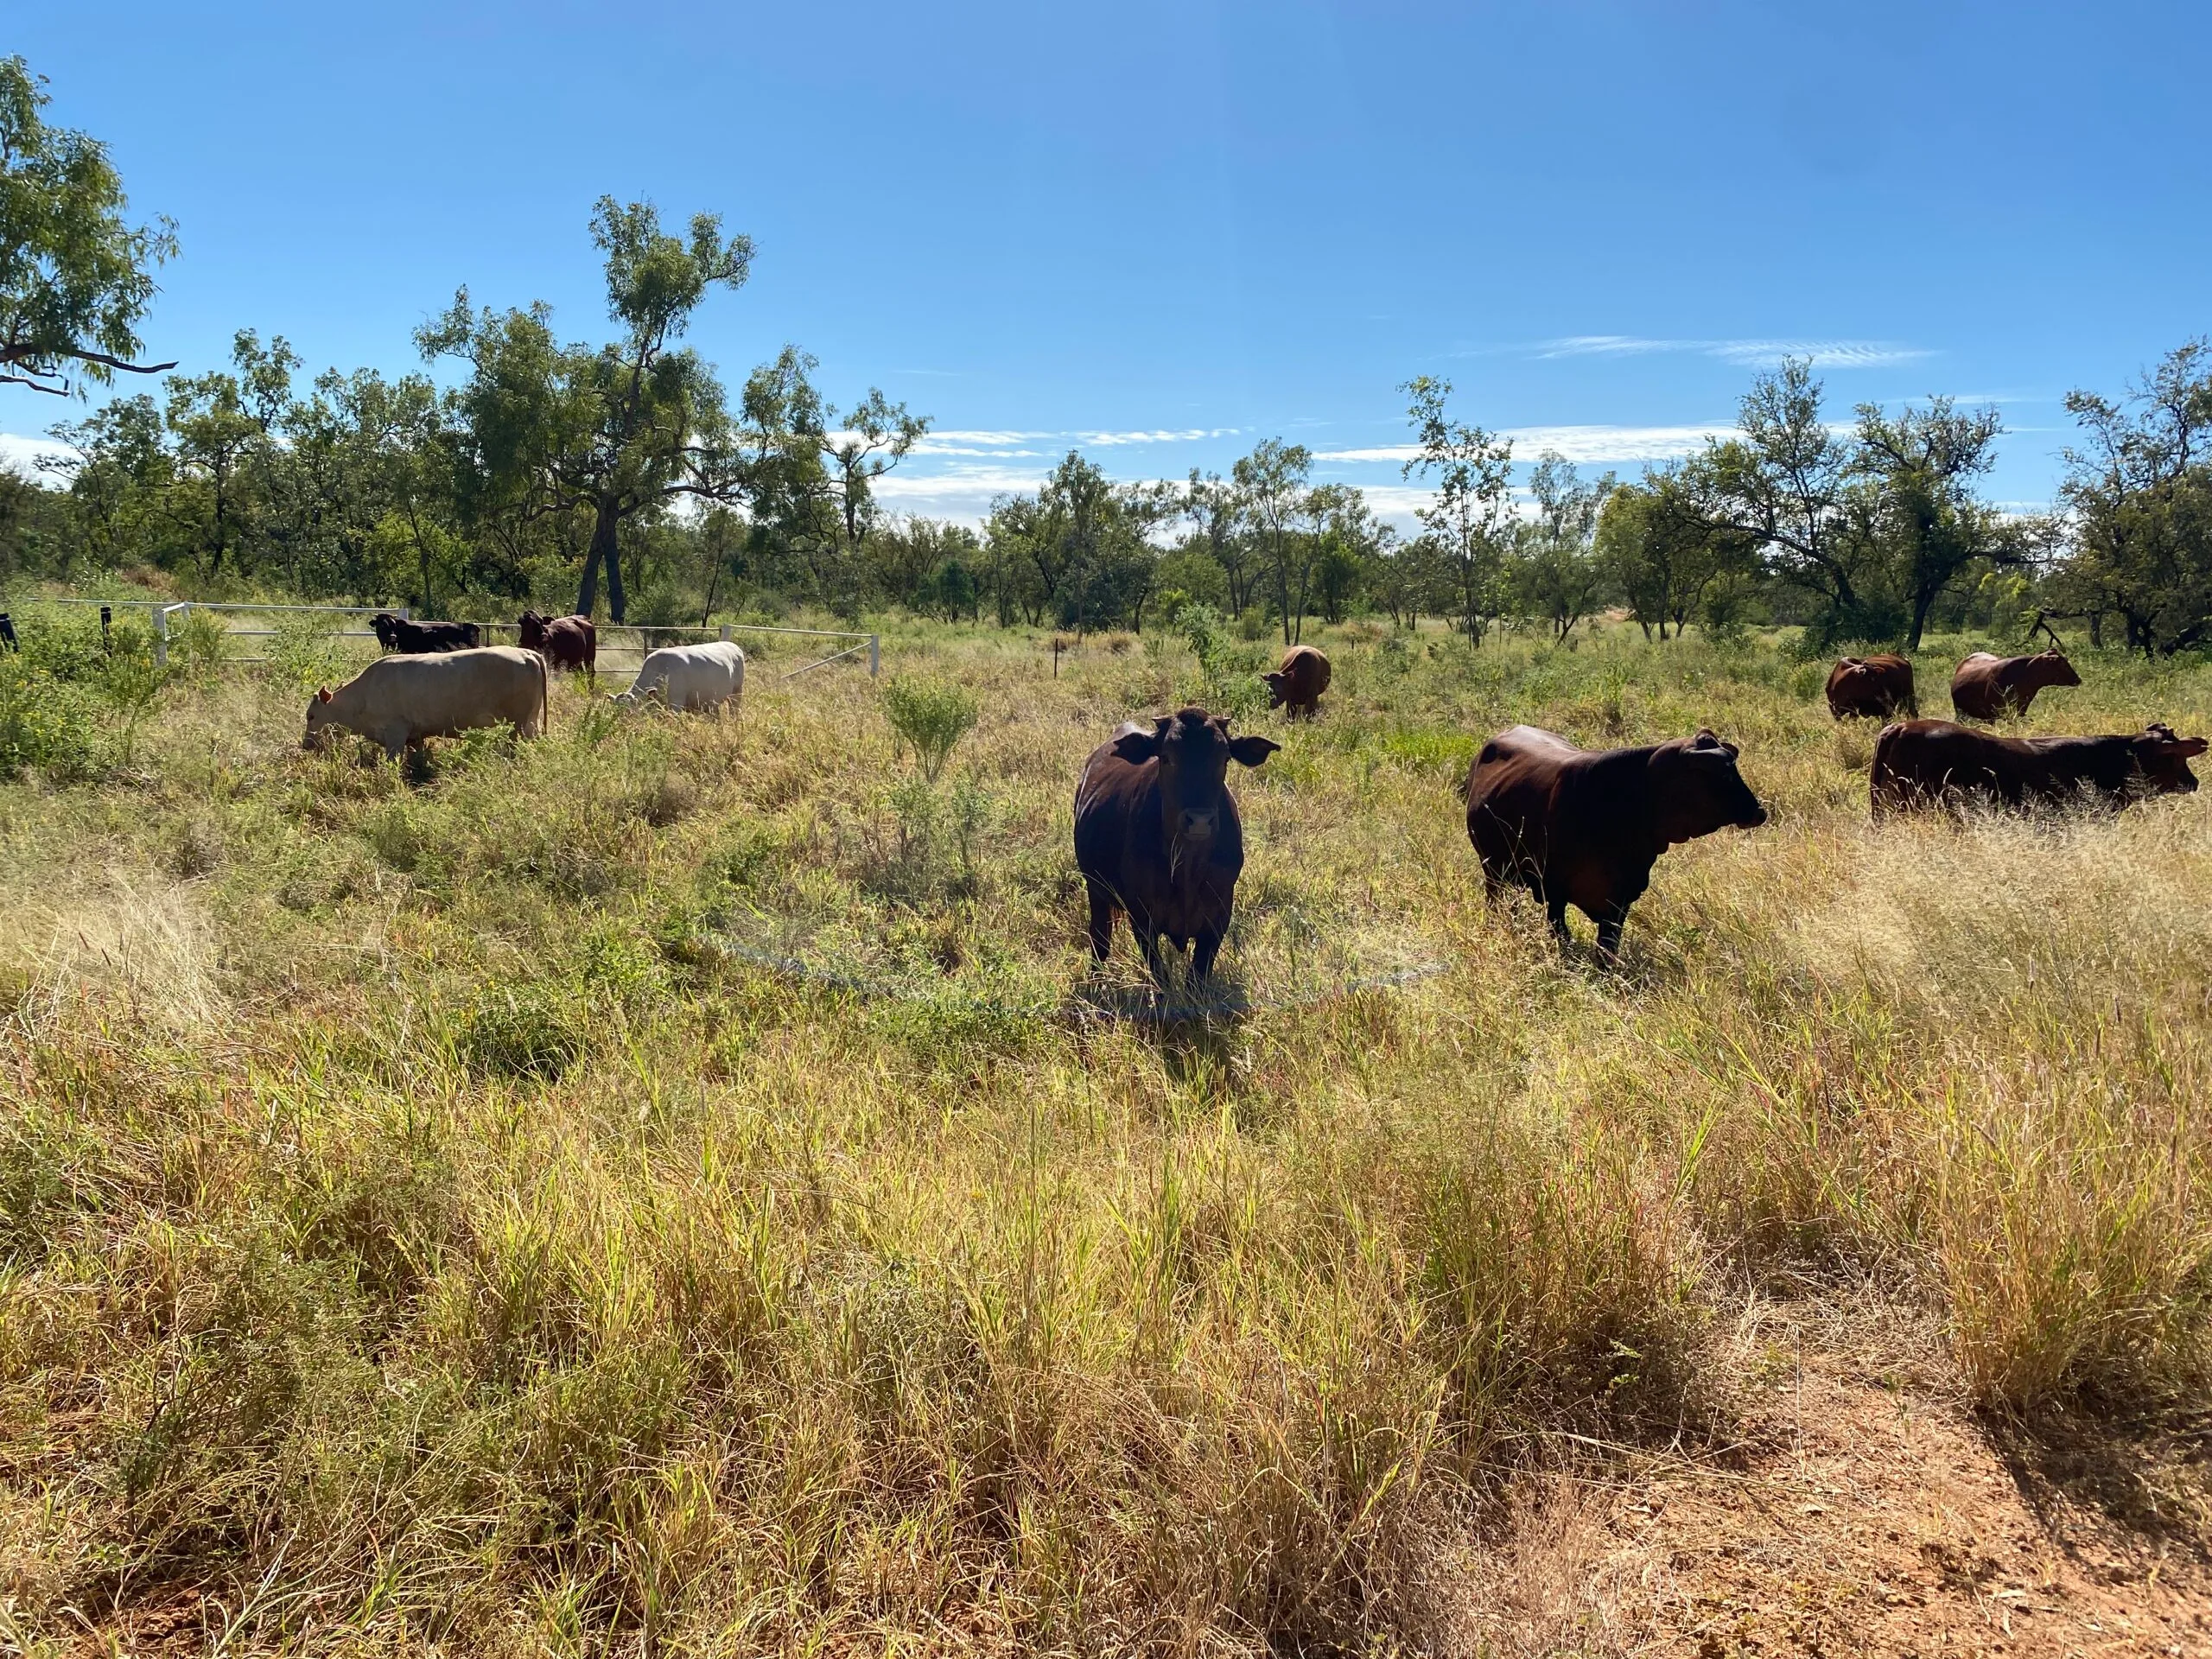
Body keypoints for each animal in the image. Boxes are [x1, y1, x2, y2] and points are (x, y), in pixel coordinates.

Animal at [304, 646, 548, 759]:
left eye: (311, 716)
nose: (305, 745)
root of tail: (527, 652)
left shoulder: (395, 732)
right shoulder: (415, 735)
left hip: (517, 724)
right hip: (531, 722)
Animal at [1073, 707, 1279, 984]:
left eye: (1225, 758)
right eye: (1167, 757)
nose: (1199, 820)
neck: (1187, 868)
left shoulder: (1219, 916)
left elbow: (1197, 977)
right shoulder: (1142, 918)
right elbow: (1161, 975)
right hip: (1095, 889)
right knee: (1100, 937)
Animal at [1466, 725, 1768, 961]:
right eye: (1724, 774)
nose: (1759, 812)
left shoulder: (1622, 898)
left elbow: (1608, 949)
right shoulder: (1555, 890)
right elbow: (1562, 933)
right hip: (1494, 871)